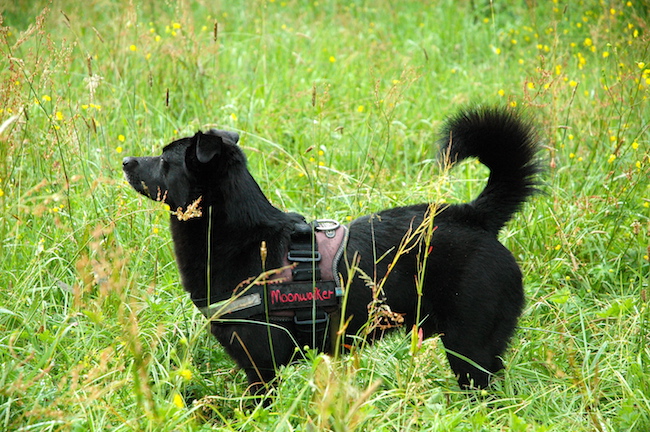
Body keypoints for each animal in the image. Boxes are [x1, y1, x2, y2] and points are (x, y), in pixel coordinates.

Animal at [123, 106, 540, 394]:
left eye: (164, 160)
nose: (125, 160)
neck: (244, 237)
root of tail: (473, 216)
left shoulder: (262, 366)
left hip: (470, 350)